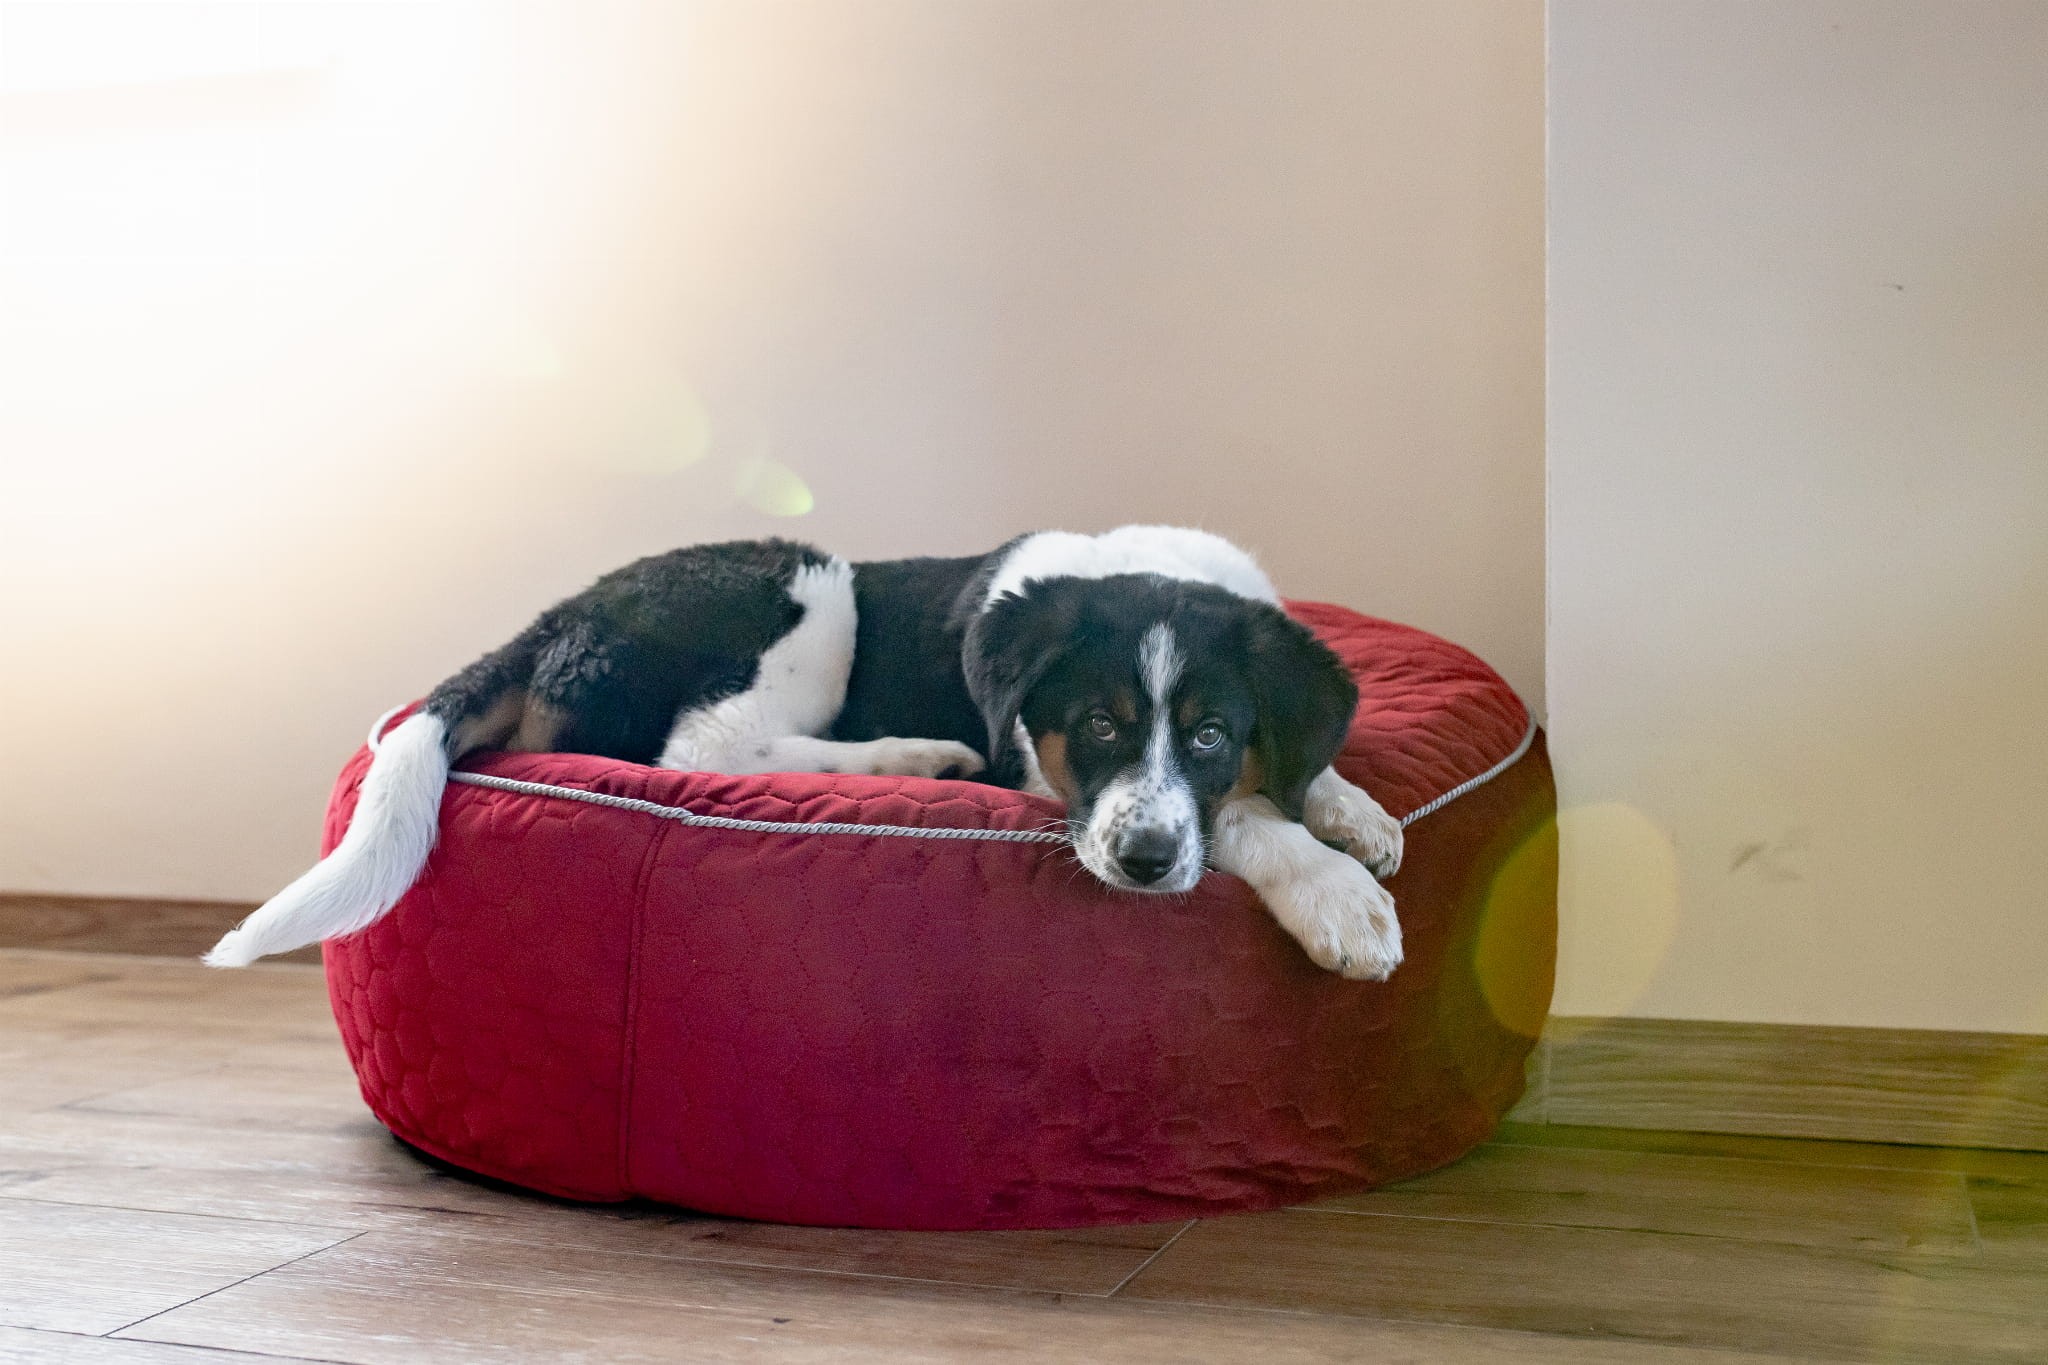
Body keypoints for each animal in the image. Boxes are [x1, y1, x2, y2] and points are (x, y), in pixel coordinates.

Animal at [206, 525, 1404, 978]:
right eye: (1098, 723)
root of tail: (557, 618)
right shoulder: (1046, 772)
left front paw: (1352, 811)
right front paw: (1337, 897)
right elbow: (1240, 814)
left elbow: (1287, 769)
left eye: (1210, 731)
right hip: (808, 584)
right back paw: (914, 757)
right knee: (701, 746)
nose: (1146, 865)